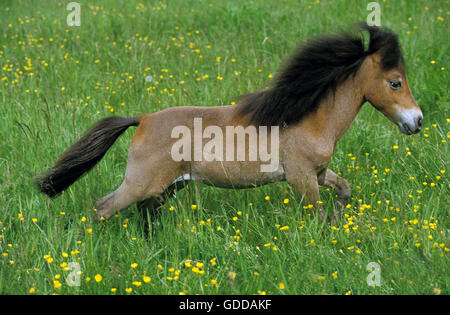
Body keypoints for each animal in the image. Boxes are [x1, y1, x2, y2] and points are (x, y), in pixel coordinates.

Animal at [35, 22, 422, 225]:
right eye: (395, 82)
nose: (416, 121)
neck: (308, 118)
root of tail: (142, 119)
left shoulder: (319, 171)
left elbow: (344, 189)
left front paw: (340, 220)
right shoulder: (301, 177)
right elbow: (317, 211)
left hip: (166, 187)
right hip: (140, 184)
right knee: (102, 208)